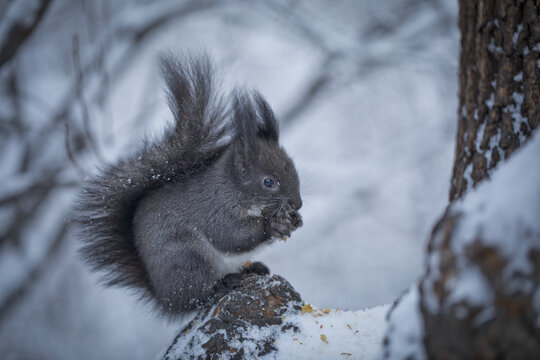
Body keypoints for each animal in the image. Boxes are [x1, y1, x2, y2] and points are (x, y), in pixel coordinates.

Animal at [75, 54, 304, 318]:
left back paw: (252, 269)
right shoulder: (215, 208)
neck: (233, 188)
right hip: (188, 260)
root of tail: (164, 298)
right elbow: (230, 236)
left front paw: (295, 220)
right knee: (197, 296)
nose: (298, 204)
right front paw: (273, 225)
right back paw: (223, 284)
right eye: (268, 182)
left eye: (292, 166)